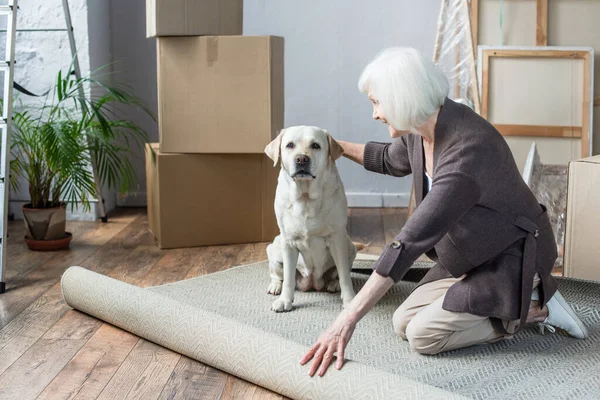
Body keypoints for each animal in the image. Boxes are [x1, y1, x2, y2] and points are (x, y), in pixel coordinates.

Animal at [264, 125, 364, 312]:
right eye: (290, 145)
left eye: (315, 145)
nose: (301, 159)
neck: (305, 197)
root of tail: (312, 283)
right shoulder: (288, 242)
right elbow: (288, 278)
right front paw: (285, 300)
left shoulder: (337, 239)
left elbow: (345, 276)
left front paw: (349, 300)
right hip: (274, 248)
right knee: (277, 274)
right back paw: (275, 286)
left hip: (350, 247)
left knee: (339, 273)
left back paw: (333, 284)